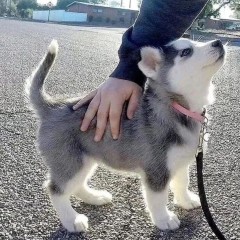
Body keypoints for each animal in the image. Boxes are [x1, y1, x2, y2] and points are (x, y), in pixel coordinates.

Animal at [25, 38, 225, 232]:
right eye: (186, 51)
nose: (218, 42)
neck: (178, 107)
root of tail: (53, 106)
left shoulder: (181, 160)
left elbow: (182, 182)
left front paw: (186, 200)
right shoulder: (156, 168)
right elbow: (158, 198)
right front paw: (164, 219)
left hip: (84, 159)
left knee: (77, 185)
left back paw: (95, 197)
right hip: (70, 161)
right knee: (55, 189)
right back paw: (72, 220)